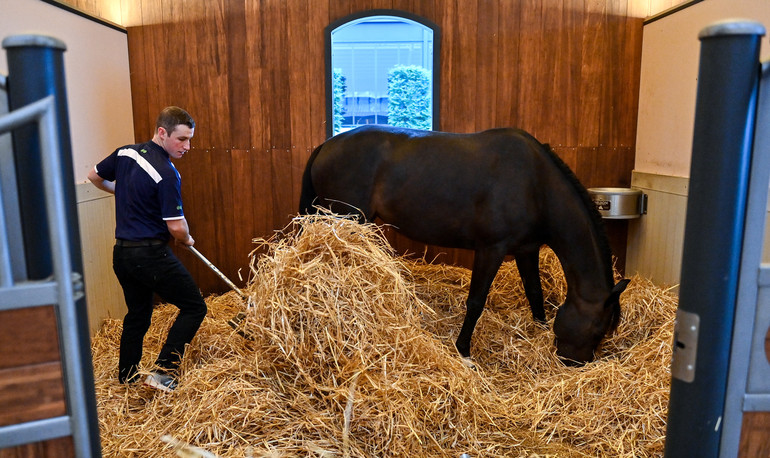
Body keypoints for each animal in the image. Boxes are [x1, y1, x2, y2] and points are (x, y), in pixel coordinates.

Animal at [296, 124, 628, 364]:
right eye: (598, 330)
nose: (574, 363)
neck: (536, 184)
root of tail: (326, 145)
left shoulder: (526, 250)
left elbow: (535, 293)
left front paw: (539, 330)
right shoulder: (491, 249)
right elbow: (476, 302)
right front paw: (464, 350)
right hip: (348, 221)